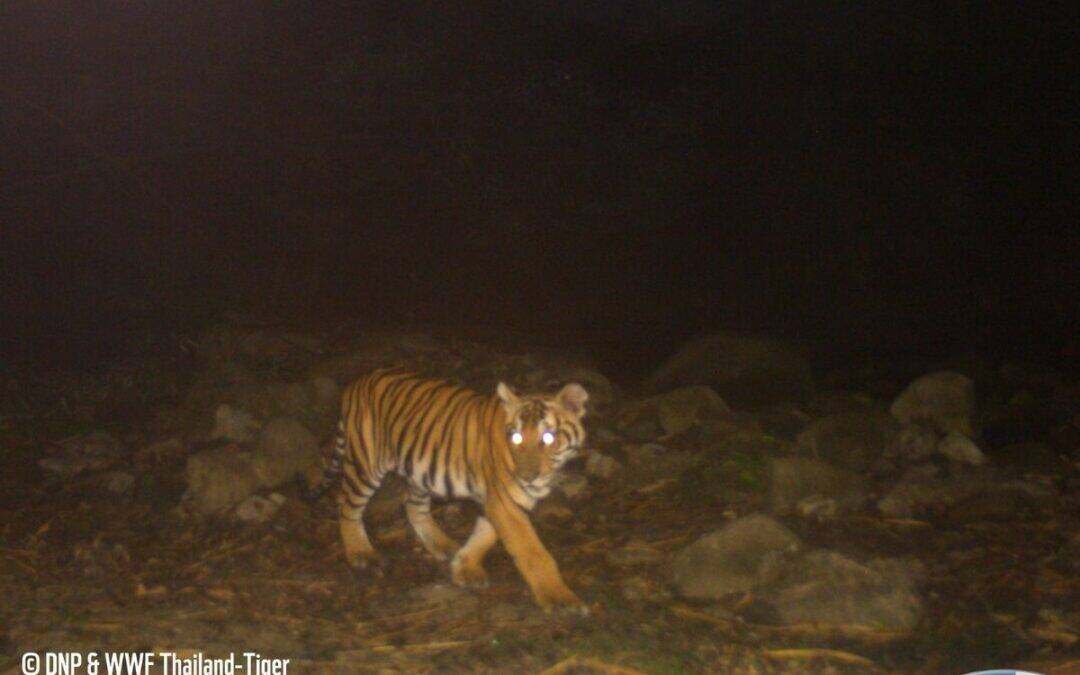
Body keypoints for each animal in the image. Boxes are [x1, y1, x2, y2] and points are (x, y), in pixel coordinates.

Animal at [304, 367, 589, 613]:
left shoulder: (499, 501)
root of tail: (357, 381)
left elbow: (485, 534)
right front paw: (560, 599)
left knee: (413, 507)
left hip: (418, 470)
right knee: (347, 505)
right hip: (367, 464)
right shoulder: (505, 502)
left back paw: (442, 545)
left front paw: (464, 567)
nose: (527, 477)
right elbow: (533, 552)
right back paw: (361, 553)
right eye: (516, 437)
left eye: (549, 437)